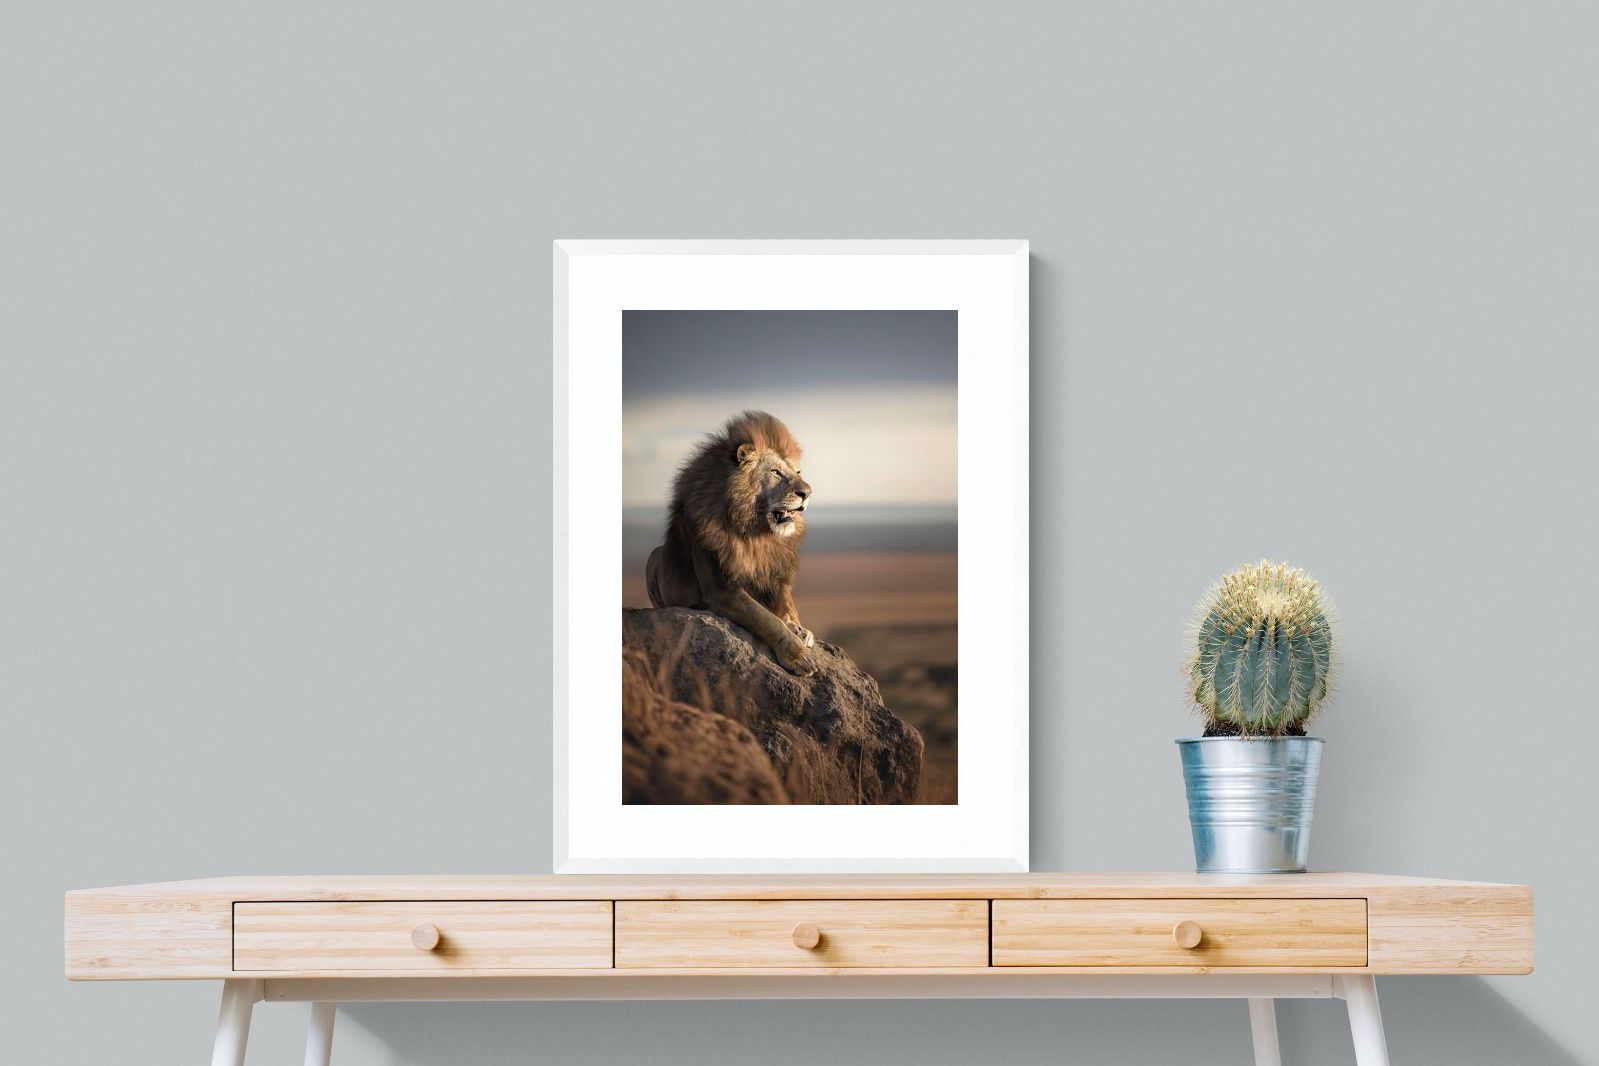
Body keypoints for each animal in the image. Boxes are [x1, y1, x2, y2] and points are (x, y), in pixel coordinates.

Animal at [645, 410, 817, 676]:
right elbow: (767, 619)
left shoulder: (775, 572)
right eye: (776, 472)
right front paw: (797, 655)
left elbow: (786, 605)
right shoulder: (721, 590)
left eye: (797, 473)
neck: (755, 530)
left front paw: (798, 628)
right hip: (654, 557)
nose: (807, 493)